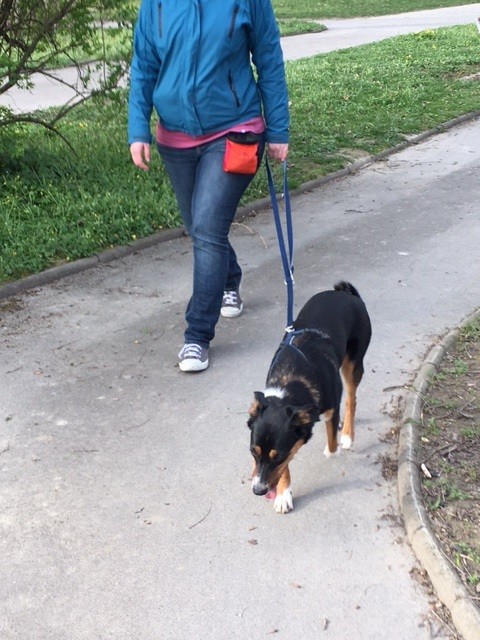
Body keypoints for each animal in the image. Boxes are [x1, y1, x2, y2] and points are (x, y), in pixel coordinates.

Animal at [248, 282, 372, 512]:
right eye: (253, 451)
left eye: (278, 455)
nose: (258, 490)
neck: (293, 380)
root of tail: (343, 292)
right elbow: (286, 467)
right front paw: (283, 495)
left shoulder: (329, 409)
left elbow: (331, 443)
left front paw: (334, 449)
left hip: (353, 363)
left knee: (351, 398)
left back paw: (347, 434)